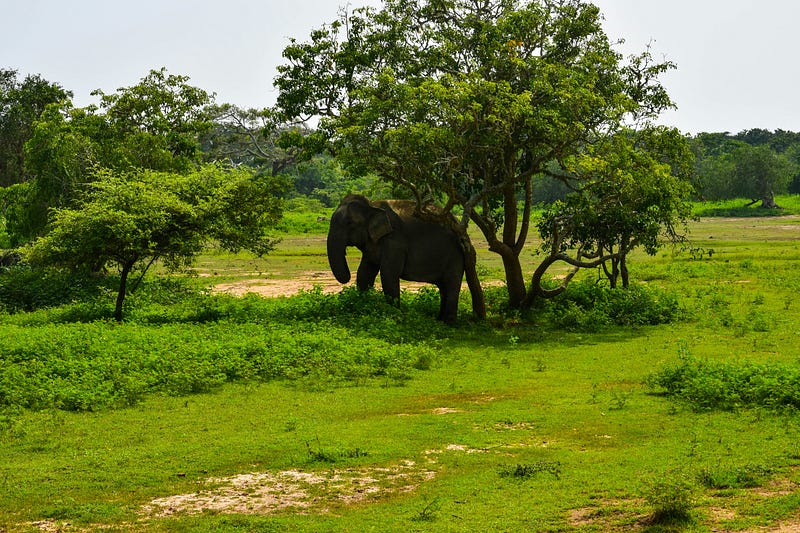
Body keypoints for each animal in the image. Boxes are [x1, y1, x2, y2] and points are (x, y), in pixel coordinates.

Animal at [328, 194, 468, 322]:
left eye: (349, 223)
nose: (347, 277)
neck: (373, 205)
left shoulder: (394, 241)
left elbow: (388, 274)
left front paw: (393, 316)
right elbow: (364, 273)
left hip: (455, 256)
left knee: (451, 285)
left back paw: (448, 323)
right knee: (444, 287)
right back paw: (440, 320)